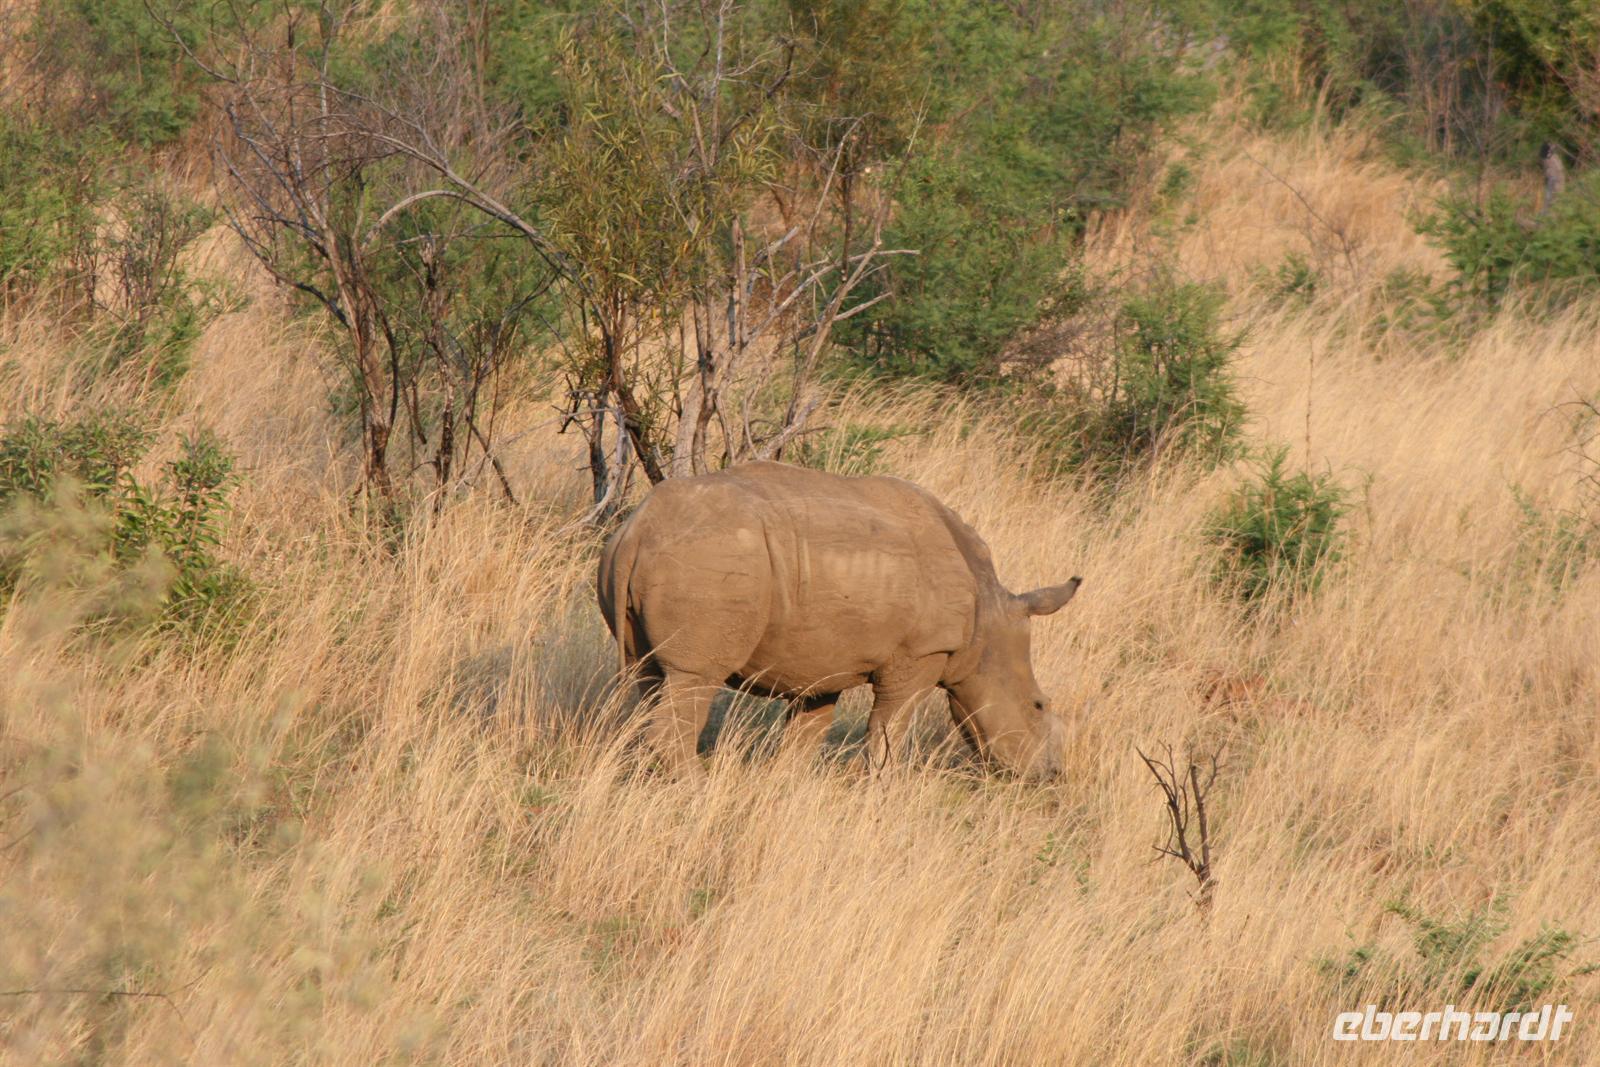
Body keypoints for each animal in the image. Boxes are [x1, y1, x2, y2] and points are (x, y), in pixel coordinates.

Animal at [596, 461, 1081, 776]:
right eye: (1038, 706)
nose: (1052, 774)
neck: (988, 620)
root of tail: (639, 528)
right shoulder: (920, 654)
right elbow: (888, 732)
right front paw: (882, 790)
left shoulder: (821, 658)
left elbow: (805, 735)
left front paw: (786, 788)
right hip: (711, 559)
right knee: (694, 677)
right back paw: (698, 788)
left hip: (670, 555)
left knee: (648, 677)